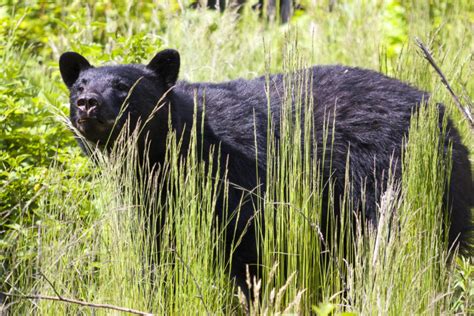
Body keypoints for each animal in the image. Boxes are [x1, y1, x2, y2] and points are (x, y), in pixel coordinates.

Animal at [60, 48, 474, 294]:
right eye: (79, 85)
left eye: (123, 86)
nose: (87, 103)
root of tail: (444, 115)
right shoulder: (154, 197)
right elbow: (159, 245)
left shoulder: (238, 176)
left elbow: (247, 251)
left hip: (399, 180)